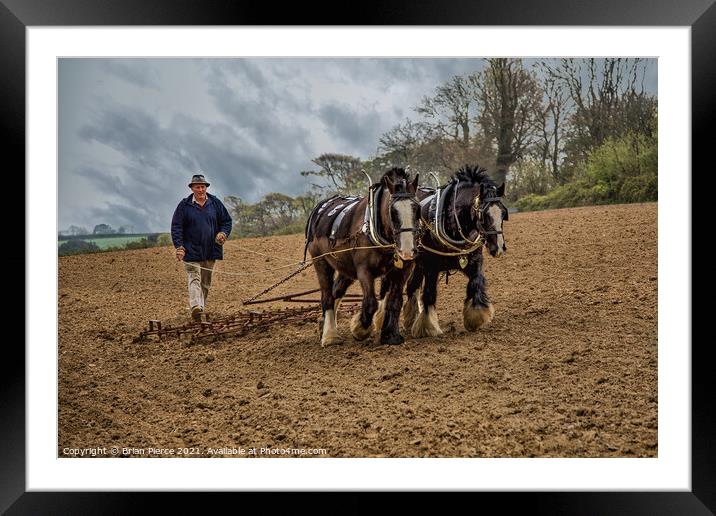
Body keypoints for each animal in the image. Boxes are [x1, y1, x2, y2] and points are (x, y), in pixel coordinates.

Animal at [304, 169, 422, 346]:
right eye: (392, 212)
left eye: (417, 209)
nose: (407, 251)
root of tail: (319, 209)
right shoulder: (364, 271)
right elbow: (371, 303)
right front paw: (359, 328)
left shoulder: (403, 270)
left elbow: (395, 301)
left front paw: (391, 335)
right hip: (320, 261)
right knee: (327, 296)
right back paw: (330, 335)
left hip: (345, 268)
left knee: (336, 291)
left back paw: (322, 325)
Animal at [374, 163, 510, 336]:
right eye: (484, 214)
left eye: (503, 213)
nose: (498, 248)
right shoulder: (431, 267)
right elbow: (429, 294)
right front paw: (427, 326)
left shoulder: (474, 261)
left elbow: (476, 282)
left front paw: (476, 316)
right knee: (388, 287)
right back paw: (381, 319)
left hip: (417, 265)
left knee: (411, 287)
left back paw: (411, 318)